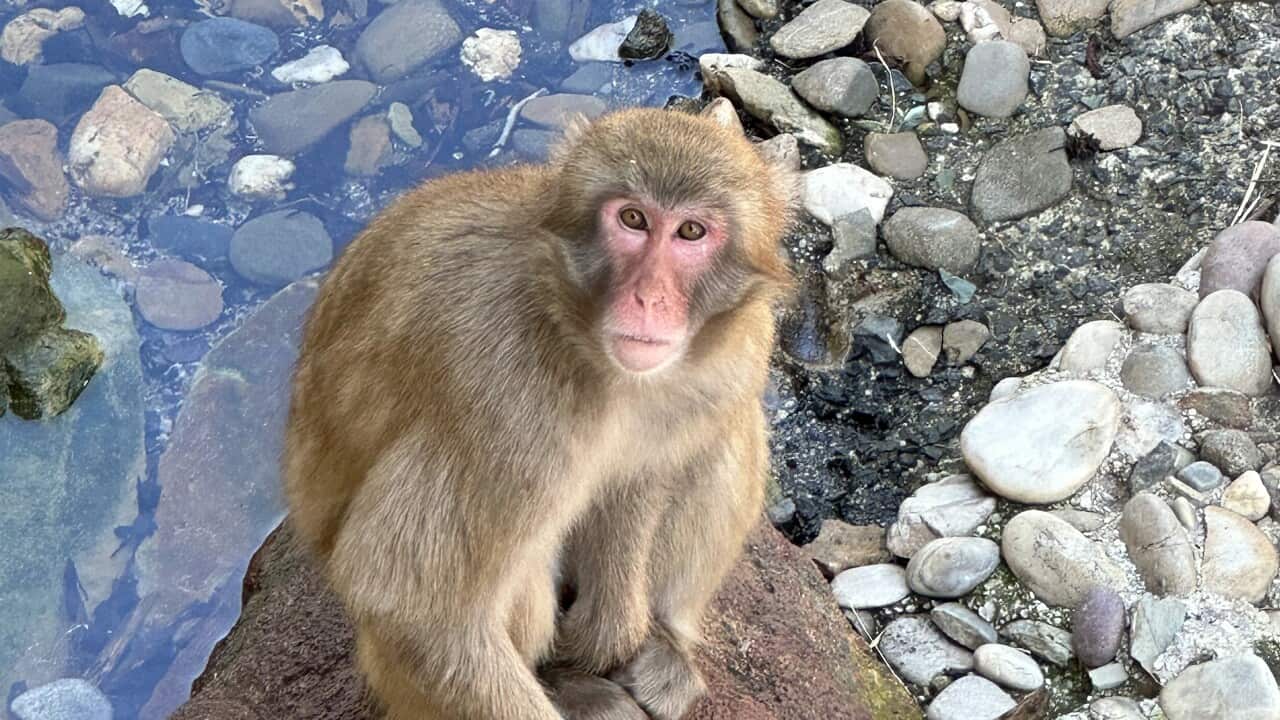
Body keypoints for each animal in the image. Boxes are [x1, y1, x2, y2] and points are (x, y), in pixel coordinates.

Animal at [282, 106, 796, 720]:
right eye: (632, 219)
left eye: (690, 231)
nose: (648, 298)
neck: (572, 325)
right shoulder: (508, 397)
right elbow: (412, 607)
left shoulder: (720, 363)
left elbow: (638, 481)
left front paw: (608, 636)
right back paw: (564, 683)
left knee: (728, 427)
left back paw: (666, 644)